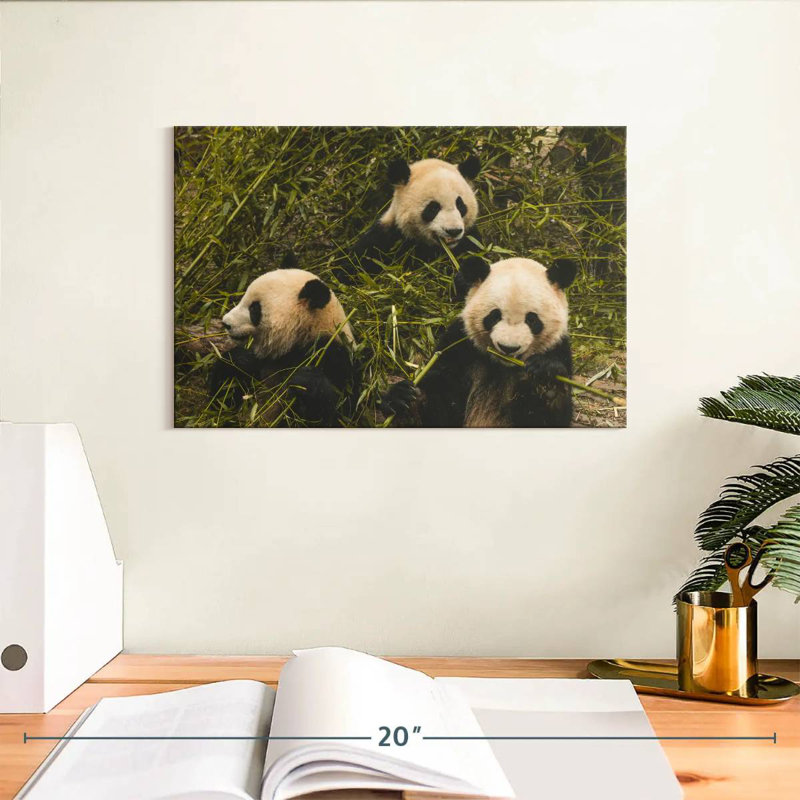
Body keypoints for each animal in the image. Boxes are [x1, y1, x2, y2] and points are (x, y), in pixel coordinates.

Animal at [209, 264, 359, 426]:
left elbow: (338, 416)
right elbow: (222, 406)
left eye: (254, 308)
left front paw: (305, 381)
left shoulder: (334, 357)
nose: (226, 323)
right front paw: (240, 360)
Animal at [344, 155, 482, 280]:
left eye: (460, 205)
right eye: (433, 208)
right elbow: (357, 263)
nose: (453, 231)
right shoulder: (385, 238)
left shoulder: (471, 242)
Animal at [381, 256, 578, 427]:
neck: (503, 366)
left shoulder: (558, 348)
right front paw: (408, 400)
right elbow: (443, 407)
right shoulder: (461, 345)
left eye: (532, 319)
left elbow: (548, 419)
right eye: (495, 316)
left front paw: (547, 382)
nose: (508, 348)